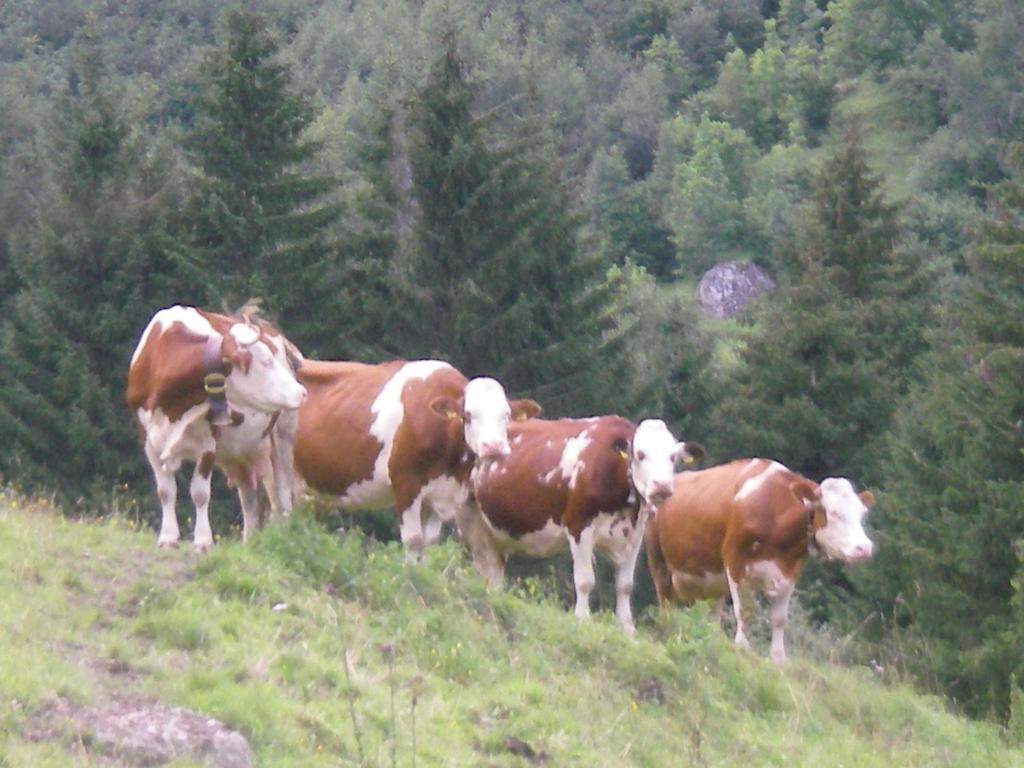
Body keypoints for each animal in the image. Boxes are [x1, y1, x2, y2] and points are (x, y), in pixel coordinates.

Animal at [126, 307, 305, 552]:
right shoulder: (149, 440)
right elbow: (166, 490)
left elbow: (200, 493)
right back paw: (250, 543)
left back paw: (283, 538)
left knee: (282, 494)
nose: (301, 391)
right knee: (249, 495)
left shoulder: (208, 443)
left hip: (283, 434)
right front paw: (168, 538)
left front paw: (202, 541)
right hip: (239, 452)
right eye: (265, 362)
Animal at [284, 360, 540, 561]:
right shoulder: (406, 483)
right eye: (468, 415)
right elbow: (414, 539)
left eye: (506, 415)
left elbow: (429, 542)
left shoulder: (440, 495)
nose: (493, 447)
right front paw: (410, 578)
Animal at [462, 417, 704, 634]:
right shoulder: (578, 525)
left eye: (672, 457)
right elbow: (585, 580)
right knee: (483, 565)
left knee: (493, 570)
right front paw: (583, 619)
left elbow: (625, 585)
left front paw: (627, 629)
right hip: (470, 519)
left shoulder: (635, 534)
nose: (661, 486)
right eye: (641, 454)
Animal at [647, 460, 872, 663]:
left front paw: (778, 657)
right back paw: (667, 626)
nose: (865, 548)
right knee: (665, 600)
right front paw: (742, 646)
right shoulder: (735, 561)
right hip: (659, 563)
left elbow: (780, 618)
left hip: (709, 580)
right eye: (833, 513)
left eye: (861, 514)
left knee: (712, 611)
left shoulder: (791, 570)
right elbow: (744, 609)